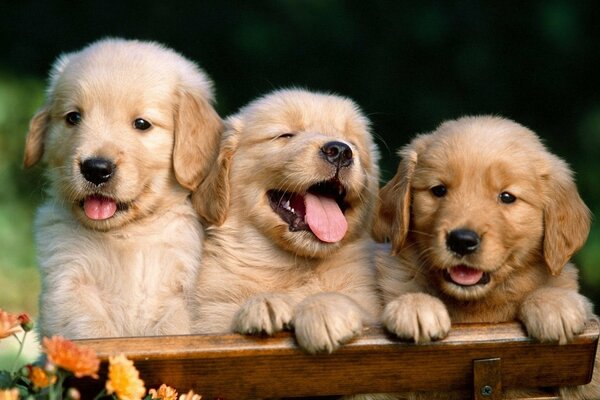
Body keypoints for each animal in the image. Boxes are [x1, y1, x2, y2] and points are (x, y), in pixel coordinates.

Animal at [24, 37, 223, 340]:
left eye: (141, 124)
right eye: (73, 118)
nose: (96, 169)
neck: (127, 235)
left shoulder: (183, 293)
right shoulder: (68, 283)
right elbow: (93, 333)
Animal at [190, 88, 382, 354]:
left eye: (352, 143)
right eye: (285, 135)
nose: (340, 151)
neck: (292, 265)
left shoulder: (367, 302)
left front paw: (323, 311)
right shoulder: (210, 316)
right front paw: (264, 304)